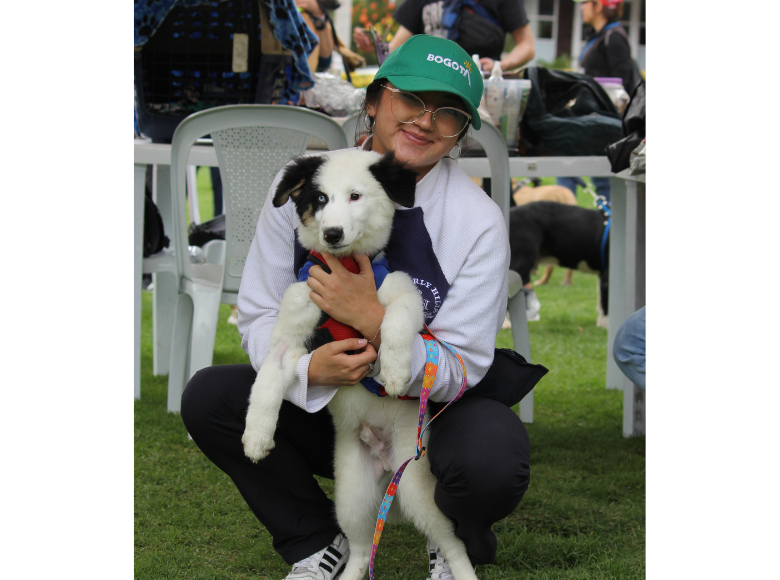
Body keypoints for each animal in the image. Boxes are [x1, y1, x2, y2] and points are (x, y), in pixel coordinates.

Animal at [241, 152, 478, 580]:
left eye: (355, 196)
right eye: (319, 198)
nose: (333, 234)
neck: (347, 267)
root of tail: (384, 462)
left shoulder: (403, 294)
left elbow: (395, 324)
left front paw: (397, 372)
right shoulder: (289, 328)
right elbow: (267, 381)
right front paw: (256, 436)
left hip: (414, 484)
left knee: (452, 541)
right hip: (352, 492)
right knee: (362, 548)